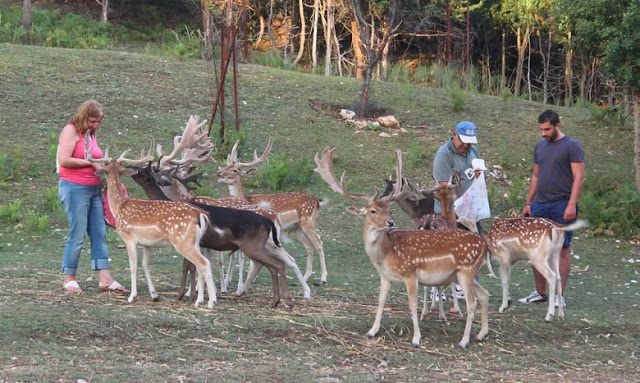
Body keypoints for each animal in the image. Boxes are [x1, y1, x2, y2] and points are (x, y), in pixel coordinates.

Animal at [220, 140, 330, 284]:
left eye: (235, 170)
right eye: (225, 166)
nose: (220, 174)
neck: (247, 200)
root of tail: (317, 201)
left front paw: (251, 277)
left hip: (308, 221)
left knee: (319, 243)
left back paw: (323, 277)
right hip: (297, 227)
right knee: (309, 246)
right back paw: (305, 277)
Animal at [312, 148, 488, 352]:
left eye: (390, 210)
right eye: (373, 210)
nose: (390, 222)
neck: (386, 254)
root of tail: (484, 244)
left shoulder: (410, 273)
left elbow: (412, 306)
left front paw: (416, 339)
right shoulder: (385, 276)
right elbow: (380, 302)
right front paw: (371, 331)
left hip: (466, 271)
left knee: (472, 303)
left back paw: (463, 341)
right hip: (465, 274)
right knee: (484, 294)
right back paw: (481, 335)